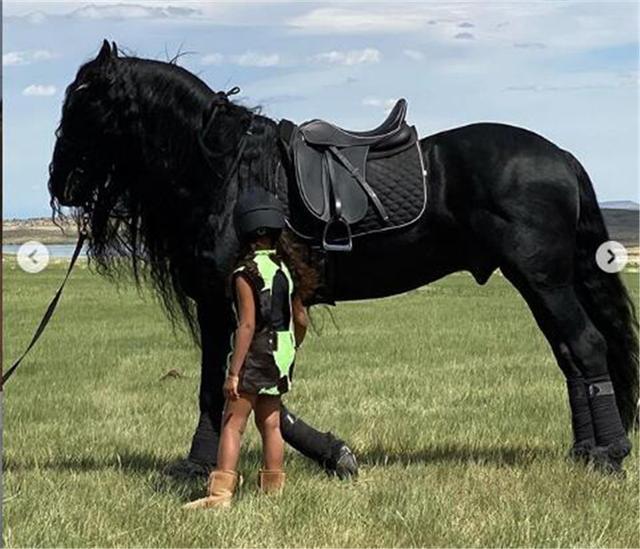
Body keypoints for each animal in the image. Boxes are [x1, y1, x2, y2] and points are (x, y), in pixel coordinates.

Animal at [48, 40, 636, 474]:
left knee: (585, 346)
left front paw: (199, 466)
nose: (59, 183)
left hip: (542, 278)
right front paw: (331, 453)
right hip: (541, 280)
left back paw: (607, 454)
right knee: (571, 353)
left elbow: (221, 384)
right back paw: (586, 450)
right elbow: (253, 386)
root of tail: (560, 156)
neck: (228, 171)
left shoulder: (222, 303)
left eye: (83, 102)